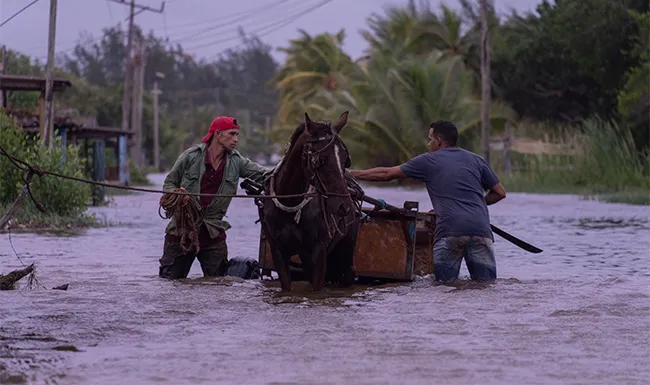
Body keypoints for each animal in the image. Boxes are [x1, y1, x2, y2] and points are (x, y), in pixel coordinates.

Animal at [260, 111, 360, 292]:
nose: (344, 206)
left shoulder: (319, 249)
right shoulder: (278, 251)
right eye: (320, 160)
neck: (291, 202)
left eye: (345, 159)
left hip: (346, 251)